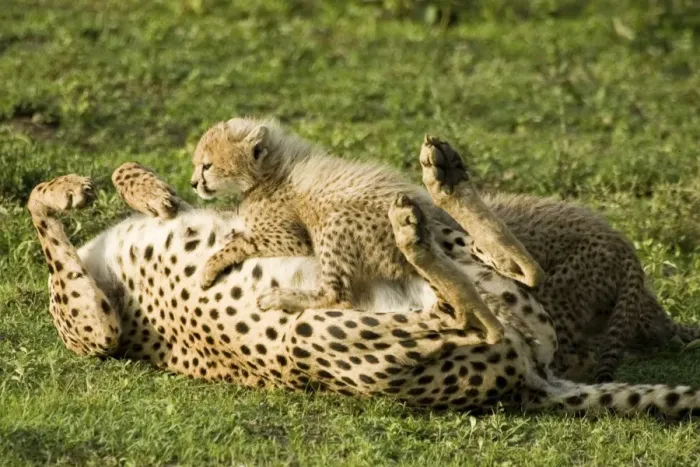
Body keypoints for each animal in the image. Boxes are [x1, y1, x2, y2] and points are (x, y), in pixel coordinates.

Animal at [25, 137, 700, 419]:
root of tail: (531, 383)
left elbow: (64, 203)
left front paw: (125, 186)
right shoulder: (101, 331)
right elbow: (42, 222)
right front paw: (67, 190)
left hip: (454, 291)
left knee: (513, 273)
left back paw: (438, 180)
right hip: (329, 339)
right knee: (486, 307)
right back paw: (420, 213)